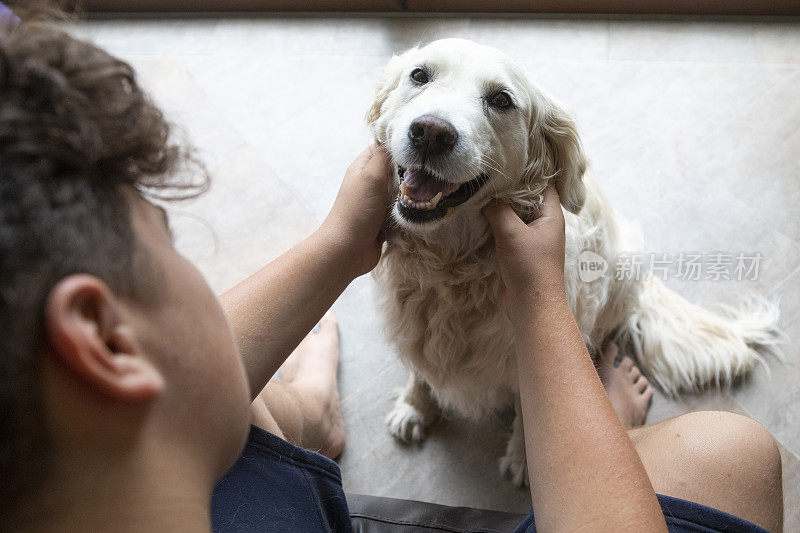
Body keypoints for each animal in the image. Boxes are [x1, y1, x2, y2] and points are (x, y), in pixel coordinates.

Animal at [368, 39, 780, 484]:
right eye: (419, 75)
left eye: (500, 100)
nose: (431, 131)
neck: (450, 270)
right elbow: (421, 370)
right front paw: (415, 406)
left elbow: (530, 409)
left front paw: (524, 458)